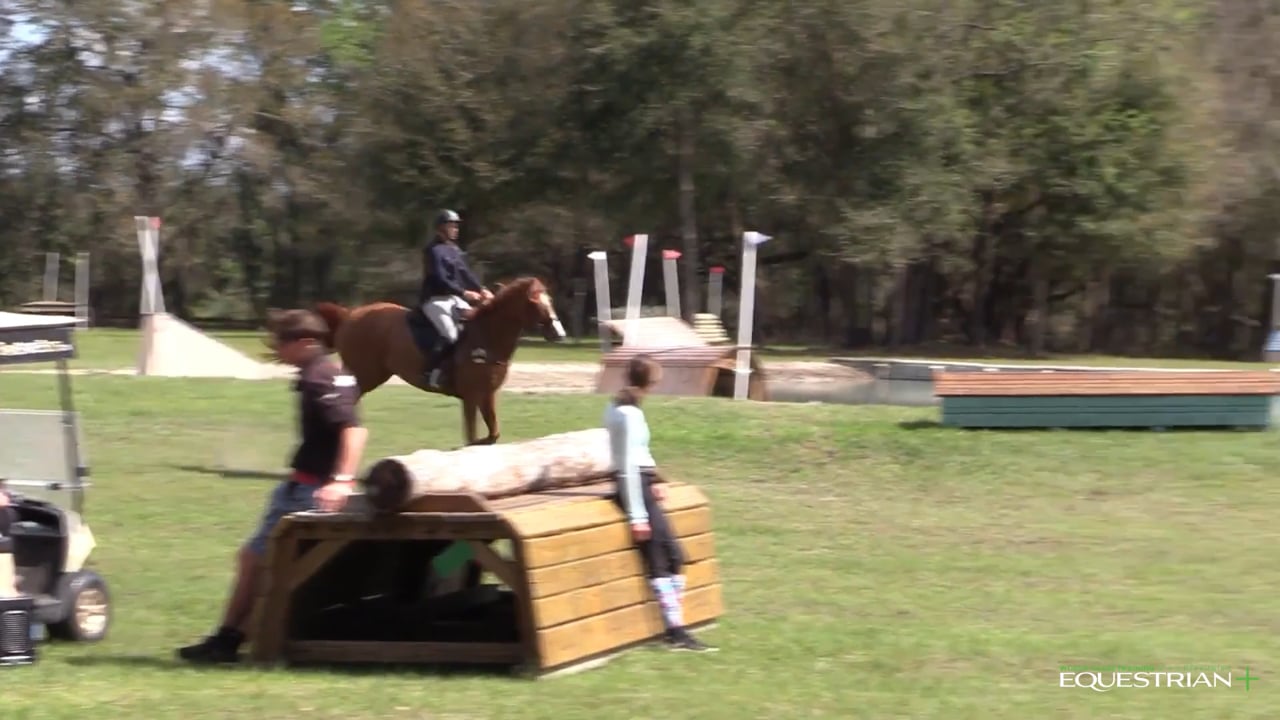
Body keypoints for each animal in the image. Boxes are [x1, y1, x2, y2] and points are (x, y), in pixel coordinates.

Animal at [303, 276, 567, 446]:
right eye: (533, 301)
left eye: (551, 300)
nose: (559, 333)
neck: (486, 336)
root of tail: (350, 314)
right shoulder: (471, 396)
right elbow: (472, 435)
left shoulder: (487, 394)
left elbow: (492, 433)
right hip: (364, 374)